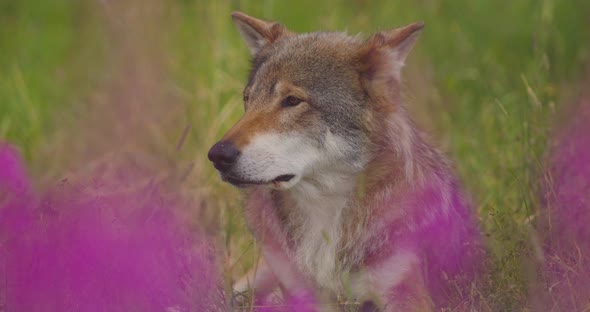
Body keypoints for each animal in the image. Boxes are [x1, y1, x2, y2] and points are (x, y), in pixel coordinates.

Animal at [209, 11, 486, 310]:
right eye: (247, 100)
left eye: (292, 100)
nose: (217, 155)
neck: (325, 214)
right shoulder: (299, 291)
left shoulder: (406, 294)